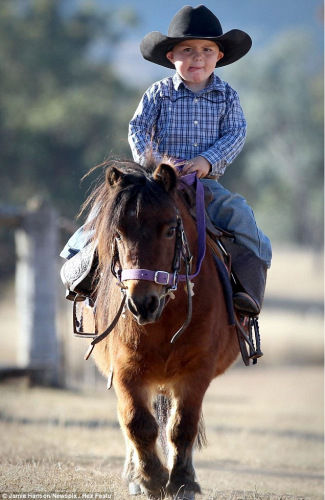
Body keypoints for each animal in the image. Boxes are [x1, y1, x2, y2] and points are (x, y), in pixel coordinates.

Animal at [83, 158, 238, 498]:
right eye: (118, 233)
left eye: (170, 229)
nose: (142, 303)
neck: (166, 316)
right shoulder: (126, 370)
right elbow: (137, 423)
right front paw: (151, 479)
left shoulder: (197, 371)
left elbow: (182, 427)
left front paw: (182, 481)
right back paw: (135, 475)